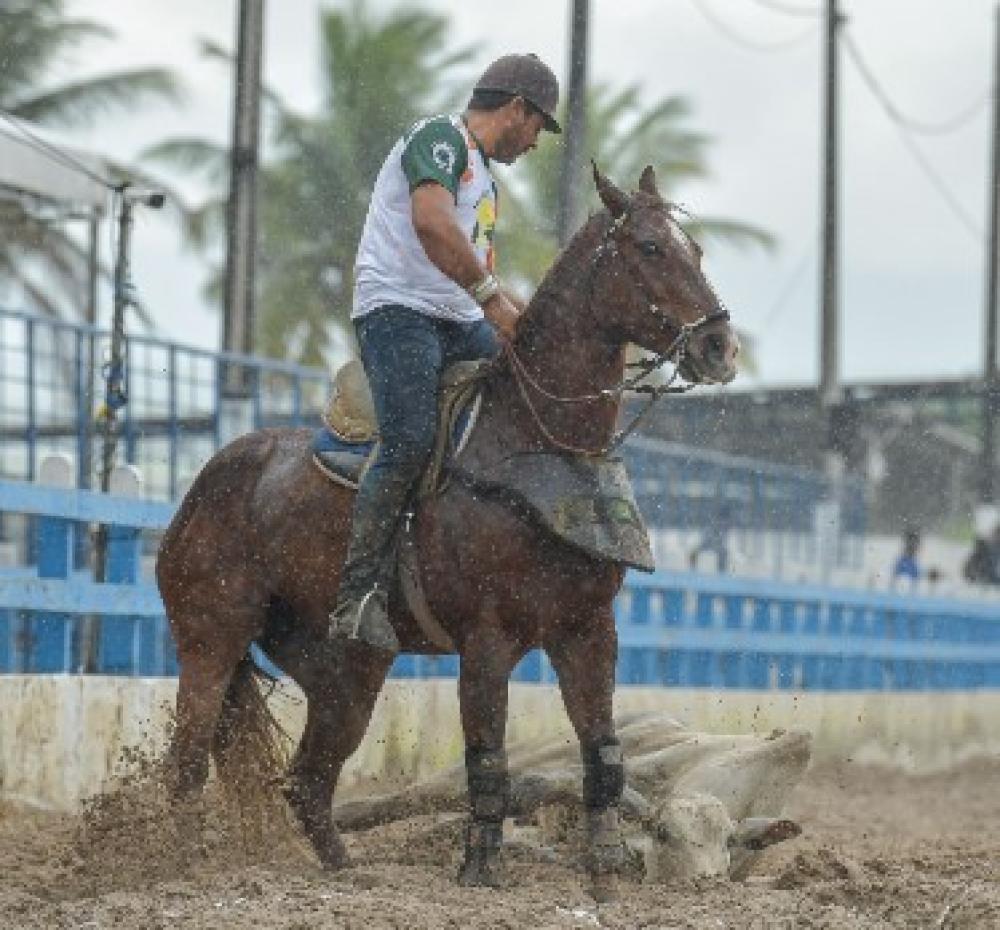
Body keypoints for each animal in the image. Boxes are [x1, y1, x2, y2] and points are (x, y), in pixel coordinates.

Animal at [156, 164, 739, 894]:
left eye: (698, 251)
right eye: (651, 249)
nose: (720, 346)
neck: (535, 441)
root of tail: (205, 485)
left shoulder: (587, 629)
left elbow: (603, 751)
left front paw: (607, 864)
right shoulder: (486, 640)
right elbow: (489, 761)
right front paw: (480, 867)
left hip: (347, 669)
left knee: (307, 782)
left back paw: (350, 872)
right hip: (212, 639)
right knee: (187, 766)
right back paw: (177, 868)